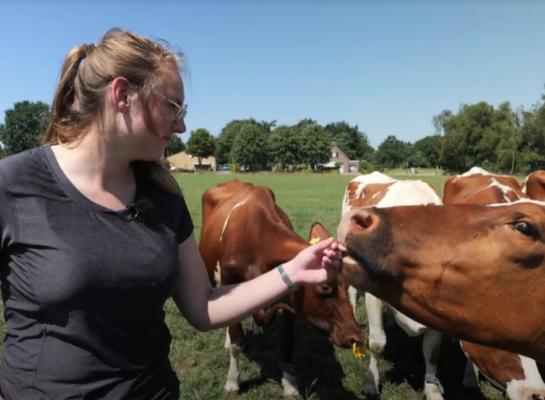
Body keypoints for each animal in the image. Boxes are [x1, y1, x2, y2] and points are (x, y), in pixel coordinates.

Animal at [198, 180, 364, 398]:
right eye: (324, 286)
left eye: (347, 284)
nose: (357, 337)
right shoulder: (228, 283)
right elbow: (236, 341)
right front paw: (232, 382)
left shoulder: (290, 298)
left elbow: (286, 342)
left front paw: (290, 385)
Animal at [340, 171, 446, 400]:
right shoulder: (374, 297)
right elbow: (377, 343)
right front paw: (371, 384)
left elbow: (432, 351)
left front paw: (432, 391)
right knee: (353, 293)